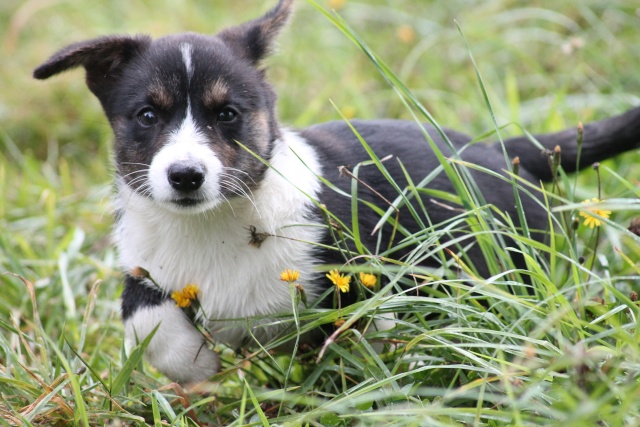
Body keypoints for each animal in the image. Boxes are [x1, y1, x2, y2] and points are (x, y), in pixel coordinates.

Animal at [35, 0, 640, 382]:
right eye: (146, 115)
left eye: (227, 114)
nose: (185, 176)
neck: (213, 222)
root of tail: (510, 151)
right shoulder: (144, 267)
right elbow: (145, 320)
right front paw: (198, 365)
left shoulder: (366, 273)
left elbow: (374, 330)